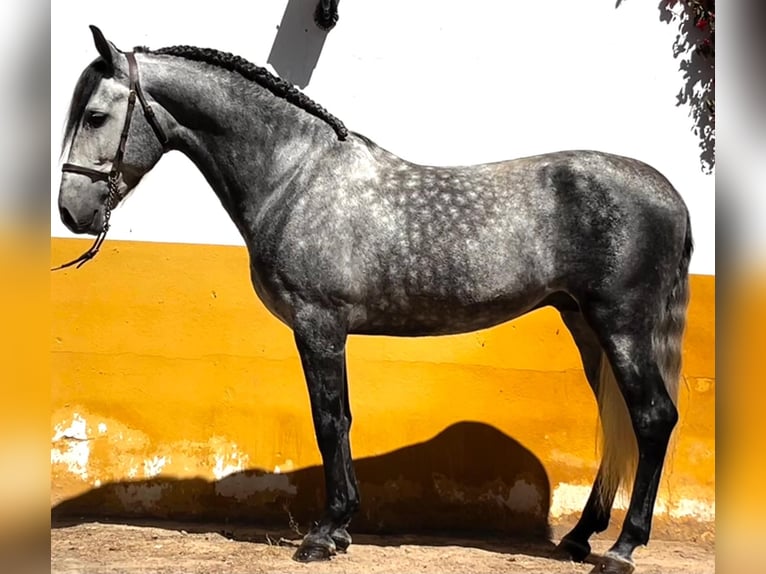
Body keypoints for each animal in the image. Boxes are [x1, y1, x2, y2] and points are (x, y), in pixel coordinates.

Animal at [55, 26, 692, 574]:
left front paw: (324, 533)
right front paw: (341, 529)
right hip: (587, 325)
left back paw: (624, 547)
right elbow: (341, 419)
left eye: (95, 115)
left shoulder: (318, 326)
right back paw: (581, 537)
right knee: (617, 422)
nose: (70, 211)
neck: (294, 178)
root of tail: (670, 194)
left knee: (652, 418)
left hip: (621, 325)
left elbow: (329, 420)